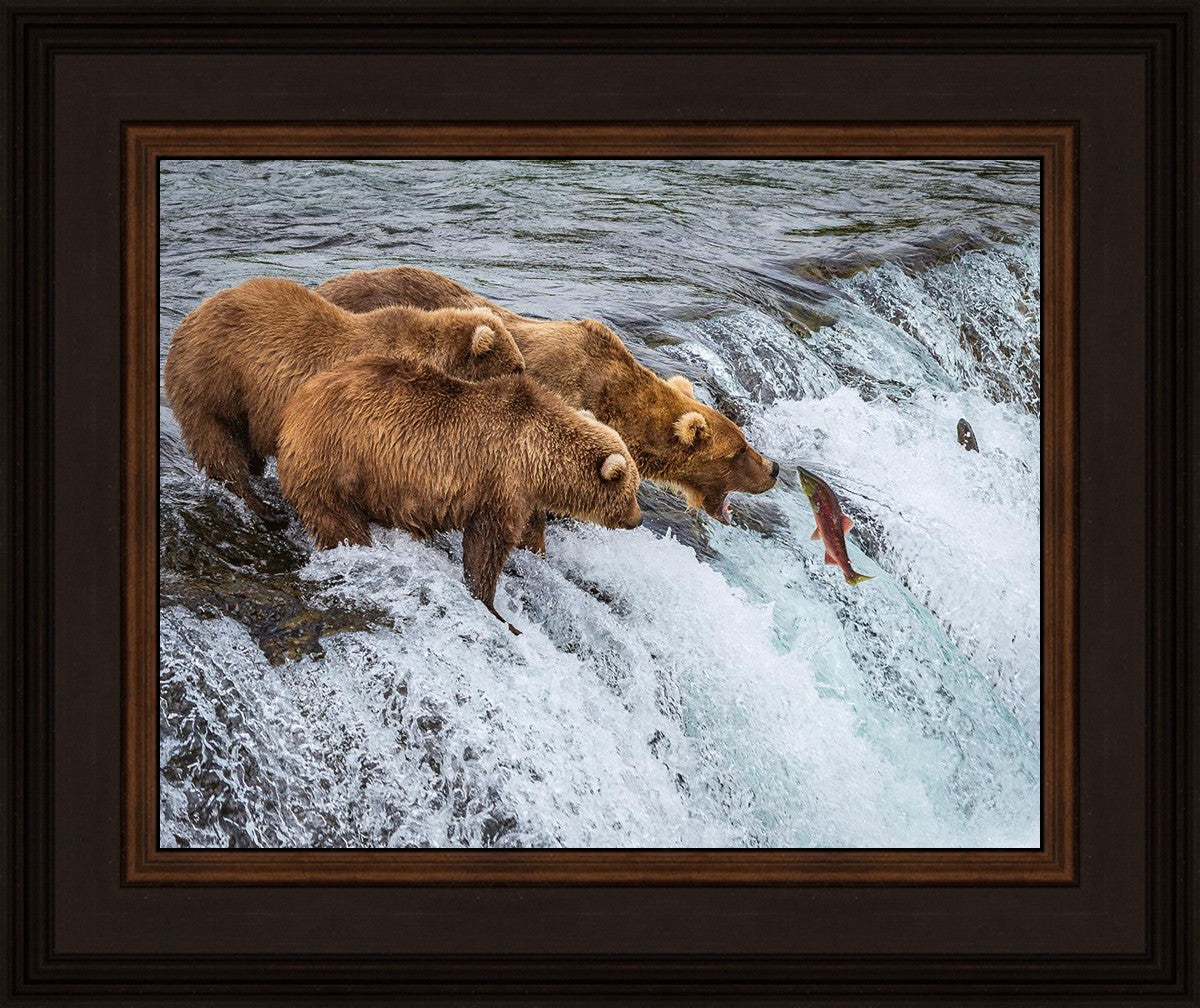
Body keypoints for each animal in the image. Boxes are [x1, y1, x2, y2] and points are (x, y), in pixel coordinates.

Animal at [163, 276, 525, 519]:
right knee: (220, 448)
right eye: (517, 367)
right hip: (213, 383)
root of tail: (187, 321)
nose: (527, 382)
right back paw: (259, 505)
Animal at [275, 353, 643, 632]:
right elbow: (487, 545)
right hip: (337, 462)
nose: (637, 519)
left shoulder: (524, 494)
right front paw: (493, 607)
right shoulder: (501, 481)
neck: (540, 458)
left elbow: (528, 533)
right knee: (338, 521)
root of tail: (297, 404)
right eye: (632, 490)